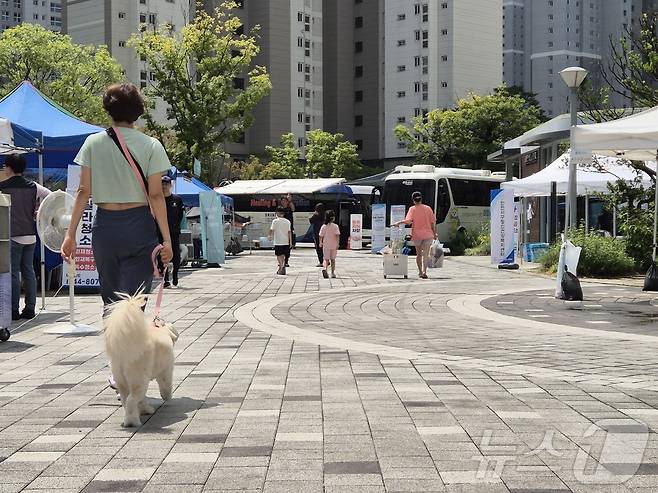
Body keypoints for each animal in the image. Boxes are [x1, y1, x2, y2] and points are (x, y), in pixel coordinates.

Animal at [102, 292, 176, 426]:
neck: (158, 329)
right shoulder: (166, 370)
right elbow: (166, 385)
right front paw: (166, 396)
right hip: (139, 379)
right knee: (132, 400)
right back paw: (132, 421)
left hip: (122, 380)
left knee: (126, 399)